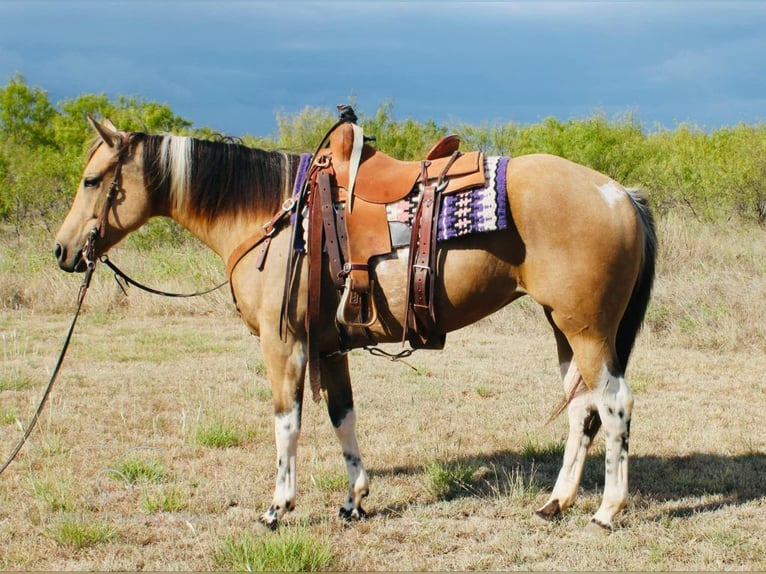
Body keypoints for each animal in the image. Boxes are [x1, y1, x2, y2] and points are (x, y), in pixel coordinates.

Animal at [54, 117, 656, 536]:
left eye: (91, 180)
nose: (62, 251)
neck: (273, 217)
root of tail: (621, 193)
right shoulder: (330, 347)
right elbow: (343, 418)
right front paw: (354, 501)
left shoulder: (284, 345)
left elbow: (287, 423)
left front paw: (278, 507)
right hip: (563, 328)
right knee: (581, 409)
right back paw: (556, 502)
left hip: (588, 330)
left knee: (615, 404)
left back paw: (606, 511)